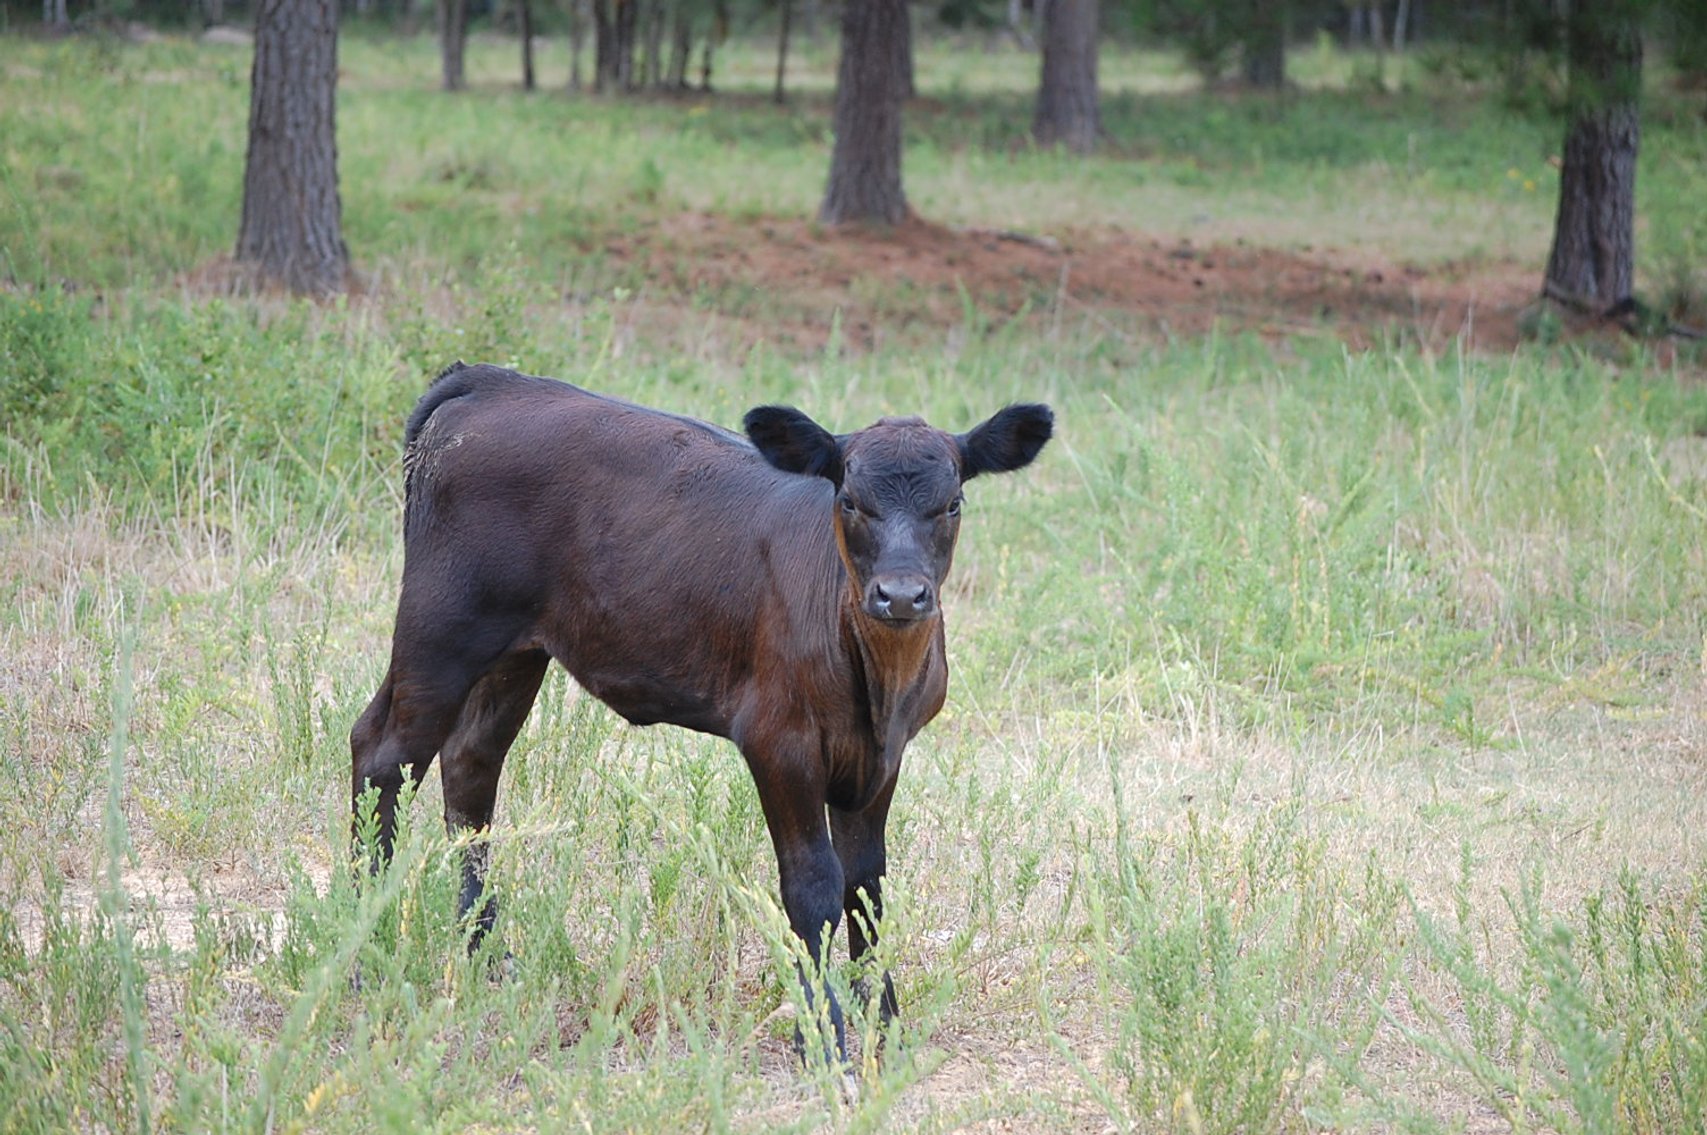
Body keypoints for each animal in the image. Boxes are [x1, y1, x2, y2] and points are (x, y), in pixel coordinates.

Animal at [350, 362, 1052, 1064]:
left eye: (953, 503)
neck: (877, 684)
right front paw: (823, 1037)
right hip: (442, 626)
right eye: (850, 501)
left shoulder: (883, 757)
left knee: (471, 767)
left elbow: (867, 891)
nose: (901, 595)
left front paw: (887, 1026)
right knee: (383, 754)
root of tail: (489, 379)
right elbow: (813, 887)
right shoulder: (778, 740)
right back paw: (362, 945)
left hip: (516, 651)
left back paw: (488, 954)